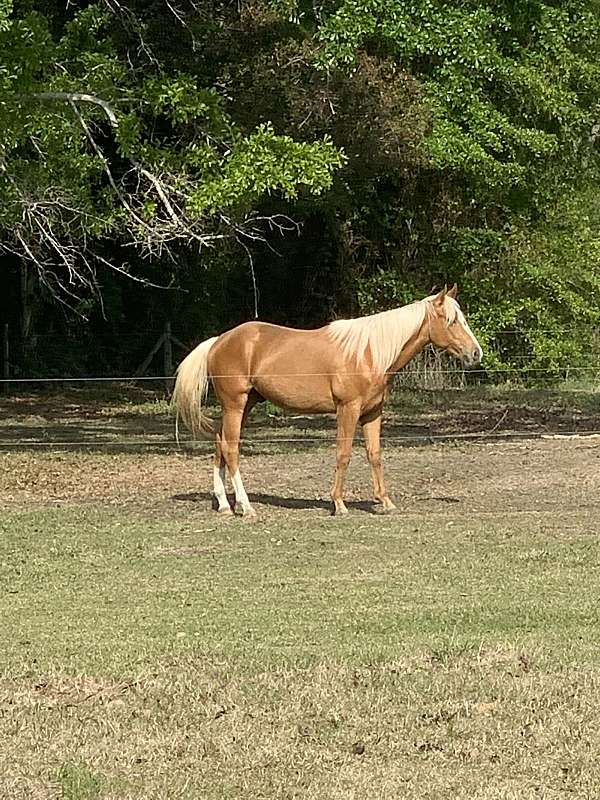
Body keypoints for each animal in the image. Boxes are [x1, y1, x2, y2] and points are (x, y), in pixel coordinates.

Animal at [172, 286, 482, 520]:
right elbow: (343, 454)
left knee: (220, 444)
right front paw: (339, 504)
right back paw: (246, 508)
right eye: (451, 321)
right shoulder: (348, 409)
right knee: (232, 449)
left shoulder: (372, 413)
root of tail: (218, 341)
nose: (475, 353)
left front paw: (385, 501)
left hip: (244, 405)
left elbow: (374, 454)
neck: (368, 353)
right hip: (235, 405)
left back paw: (226, 505)